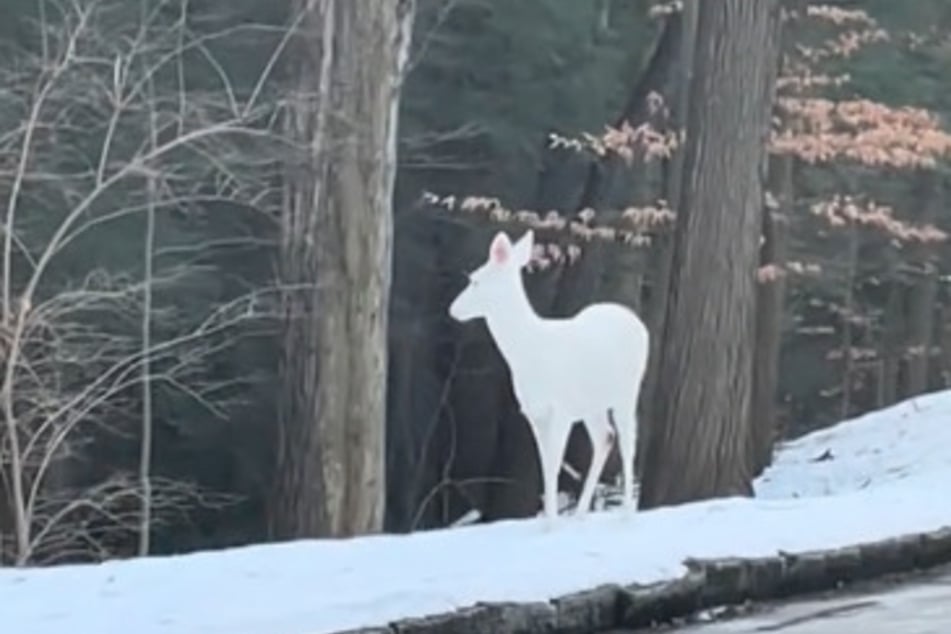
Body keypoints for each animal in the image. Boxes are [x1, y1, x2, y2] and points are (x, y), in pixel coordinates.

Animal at [450, 227, 652, 520]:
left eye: (475, 280)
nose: (453, 309)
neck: (530, 352)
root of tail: (637, 322)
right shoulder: (535, 413)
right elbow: (545, 467)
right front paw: (548, 520)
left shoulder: (562, 409)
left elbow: (554, 465)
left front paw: (552, 523)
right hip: (592, 404)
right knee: (605, 437)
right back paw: (580, 514)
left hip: (627, 392)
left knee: (628, 443)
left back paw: (626, 513)